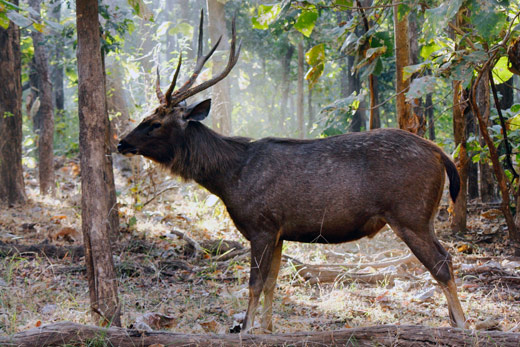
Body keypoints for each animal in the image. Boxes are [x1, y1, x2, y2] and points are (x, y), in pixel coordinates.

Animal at [118, 11, 468, 334]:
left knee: (443, 263)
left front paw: (246, 329)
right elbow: (273, 282)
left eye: (155, 123)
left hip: (410, 214)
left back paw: (463, 326)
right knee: (446, 259)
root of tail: (440, 153)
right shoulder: (278, 231)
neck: (229, 179)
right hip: (421, 216)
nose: (122, 142)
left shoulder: (261, 225)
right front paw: (267, 329)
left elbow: (254, 283)